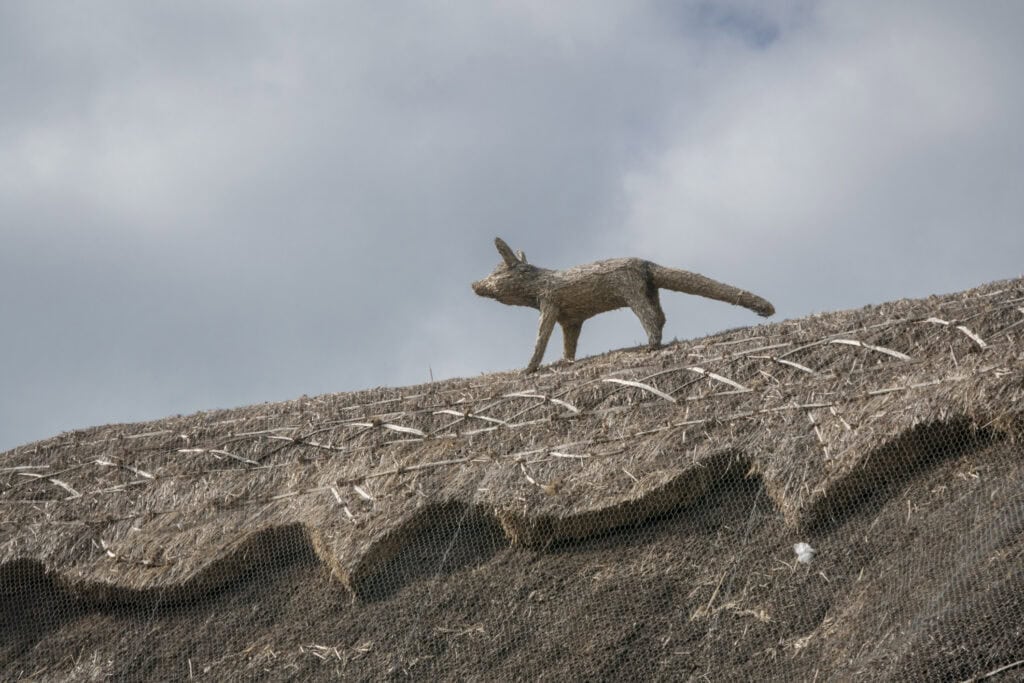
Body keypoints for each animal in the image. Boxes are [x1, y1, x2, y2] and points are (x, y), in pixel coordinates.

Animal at [472, 237, 775, 373]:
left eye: (496, 275)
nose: (475, 284)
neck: (539, 282)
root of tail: (645, 263)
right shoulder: (571, 319)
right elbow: (569, 344)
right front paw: (566, 361)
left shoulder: (550, 304)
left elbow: (541, 338)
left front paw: (530, 367)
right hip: (649, 290)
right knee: (660, 315)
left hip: (632, 292)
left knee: (649, 317)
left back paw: (652, 344)